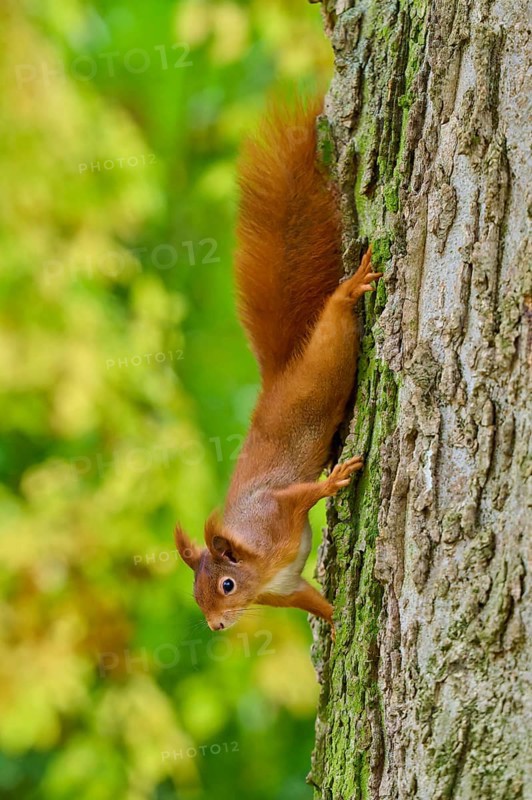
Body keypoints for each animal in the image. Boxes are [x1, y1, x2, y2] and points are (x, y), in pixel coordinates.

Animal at [175, 99, 382, 632]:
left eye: (226, 585)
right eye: (197, 596)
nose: (217, 626)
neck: (259, 568)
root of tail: (278, 377)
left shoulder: (274, 511)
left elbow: (302, 495)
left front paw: (333, 480)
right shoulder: (287, 589)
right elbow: (314, 602)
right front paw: (337, 625)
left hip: (325, 363)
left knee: (334, 321)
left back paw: (349, 290)